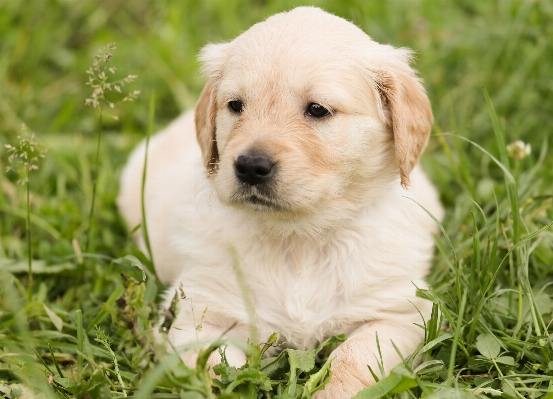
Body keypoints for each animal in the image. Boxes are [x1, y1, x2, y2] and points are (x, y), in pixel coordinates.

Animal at [118, 7, 442, 399]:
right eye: (235, 106)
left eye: (317, 109)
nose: (249, 166)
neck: (298, 240)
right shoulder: (194, 315)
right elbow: (215, 370)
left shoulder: (399, 313)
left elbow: (353, 359)